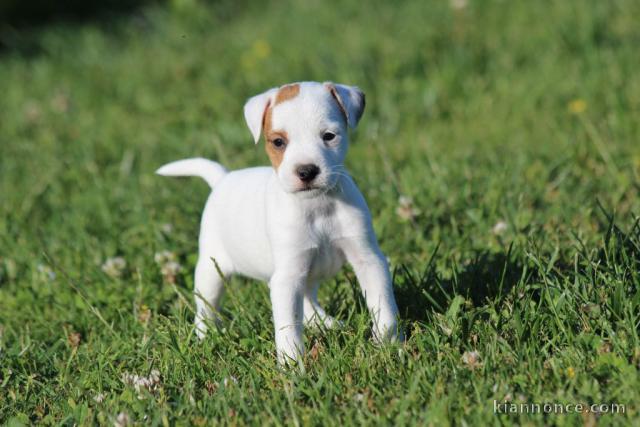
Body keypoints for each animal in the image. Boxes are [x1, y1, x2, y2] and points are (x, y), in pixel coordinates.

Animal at [158, 81, 402, 364]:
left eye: (329, 136)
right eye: (278, 142)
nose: (306, 171)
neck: (318, 206)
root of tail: (222, 179)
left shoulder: (368, 259)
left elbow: (383, 305)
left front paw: (390, 345)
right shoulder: (287, 276)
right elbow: (288, 326)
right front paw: (292, 365)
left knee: (308, 300)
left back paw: (326, 323)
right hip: (211, 269)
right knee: (205, 308)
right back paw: (205, 337)